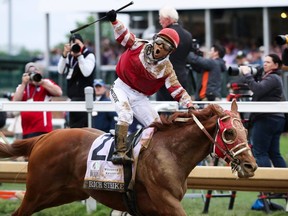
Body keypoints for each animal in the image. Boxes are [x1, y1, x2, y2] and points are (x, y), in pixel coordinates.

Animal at [0, 100, 256, 215]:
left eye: (245, 130)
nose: (251, 166)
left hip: (61, 194)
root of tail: (44, 137)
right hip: (37, 193)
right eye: (229, 133)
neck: (171, 153)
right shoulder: (166, 201)